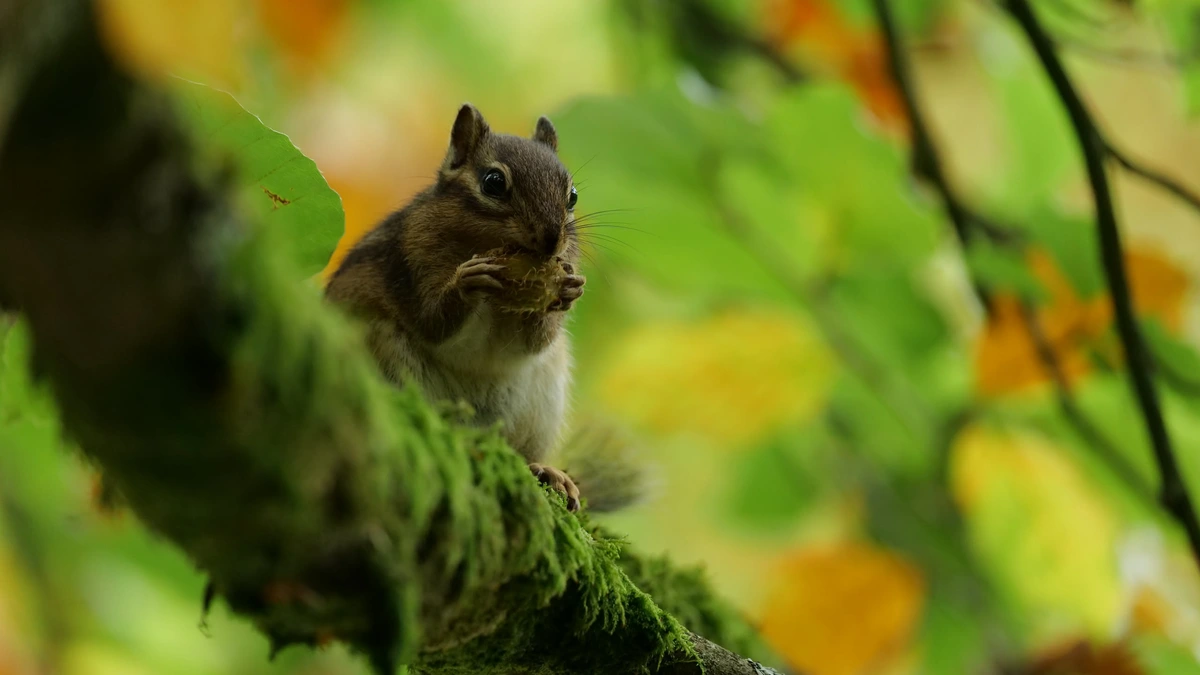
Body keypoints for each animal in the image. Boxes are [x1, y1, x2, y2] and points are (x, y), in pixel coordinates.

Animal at [325, 103, 645, 513]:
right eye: (493, 182)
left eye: (572, 195)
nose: (551, 238)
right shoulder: (412, 262)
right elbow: (432, 323)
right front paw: (468, 281)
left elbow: (531, 343)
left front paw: (567, 291)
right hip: (382, 349)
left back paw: (545, 470)